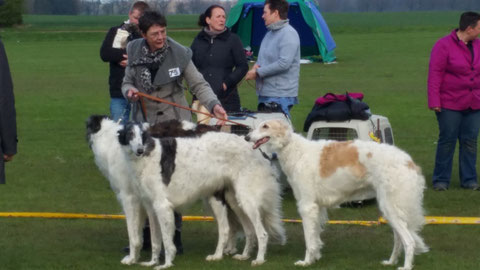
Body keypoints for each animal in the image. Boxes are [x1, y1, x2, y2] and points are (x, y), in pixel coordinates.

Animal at [246, 119, 430, 270]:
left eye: (265, 126)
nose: (247, 137)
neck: (294, 150)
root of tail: (410, 163)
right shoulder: (317, 207)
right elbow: (315, 237)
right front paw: (315, 258)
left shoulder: (307, 206)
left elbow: (309, 239)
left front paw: (306, 261)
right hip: (390, 209)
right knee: (399, 239)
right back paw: (391, 262)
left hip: (390, 207)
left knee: (409, 241)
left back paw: (406, 266)